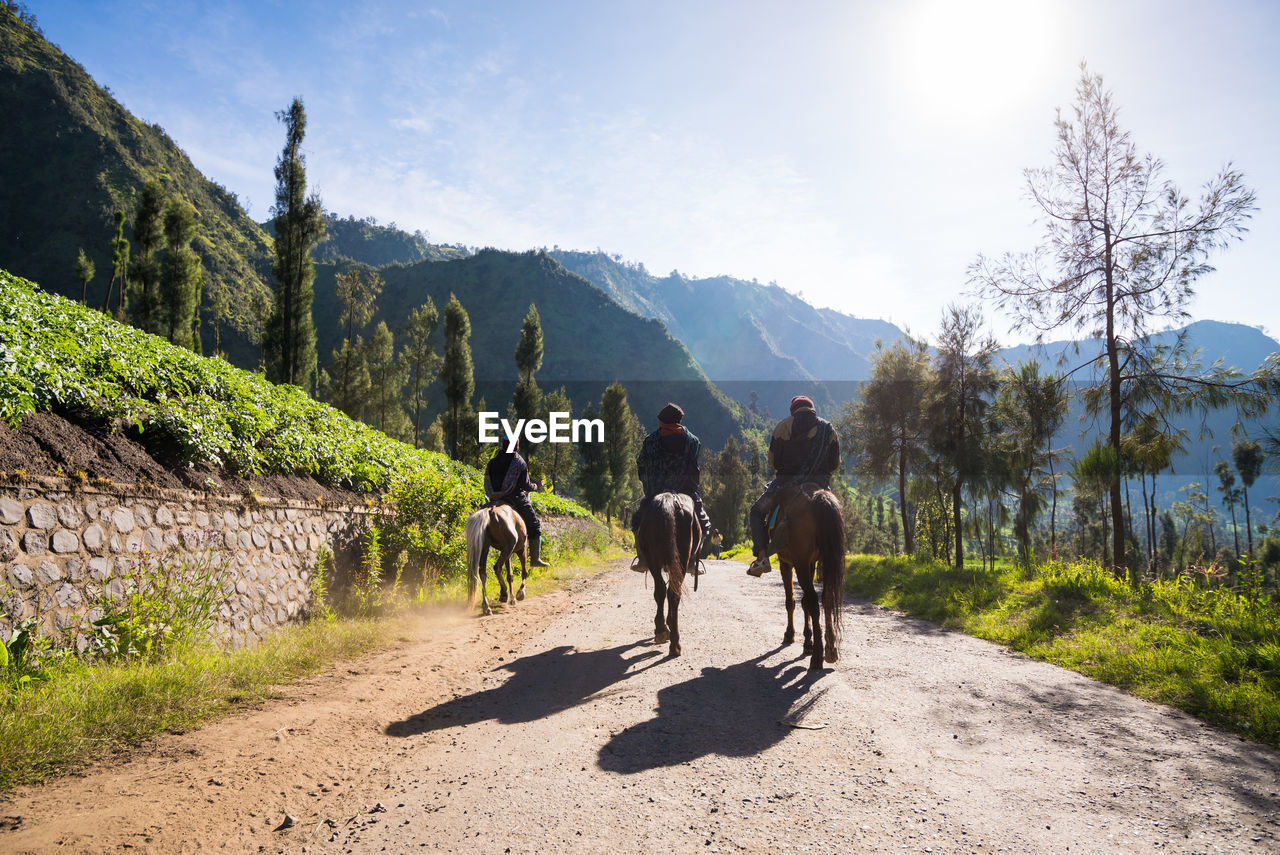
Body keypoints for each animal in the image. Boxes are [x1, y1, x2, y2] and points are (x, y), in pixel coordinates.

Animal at [629, 491, 701, 660]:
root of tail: (669, 500)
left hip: (653, 559)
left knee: (662, 591)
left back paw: (662, 631)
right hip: (680, 559)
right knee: (673, 593)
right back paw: (675, 644)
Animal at [773, 483, 844, 670]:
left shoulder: (787, 563)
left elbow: (791, 601)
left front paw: (790, 634)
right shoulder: (810, 564)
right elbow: (804, 601)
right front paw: (807, 641)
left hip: (800, 562)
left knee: (813, 602)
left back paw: (818, 657)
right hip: (827, 560)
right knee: (826, 598)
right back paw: (831, 650)